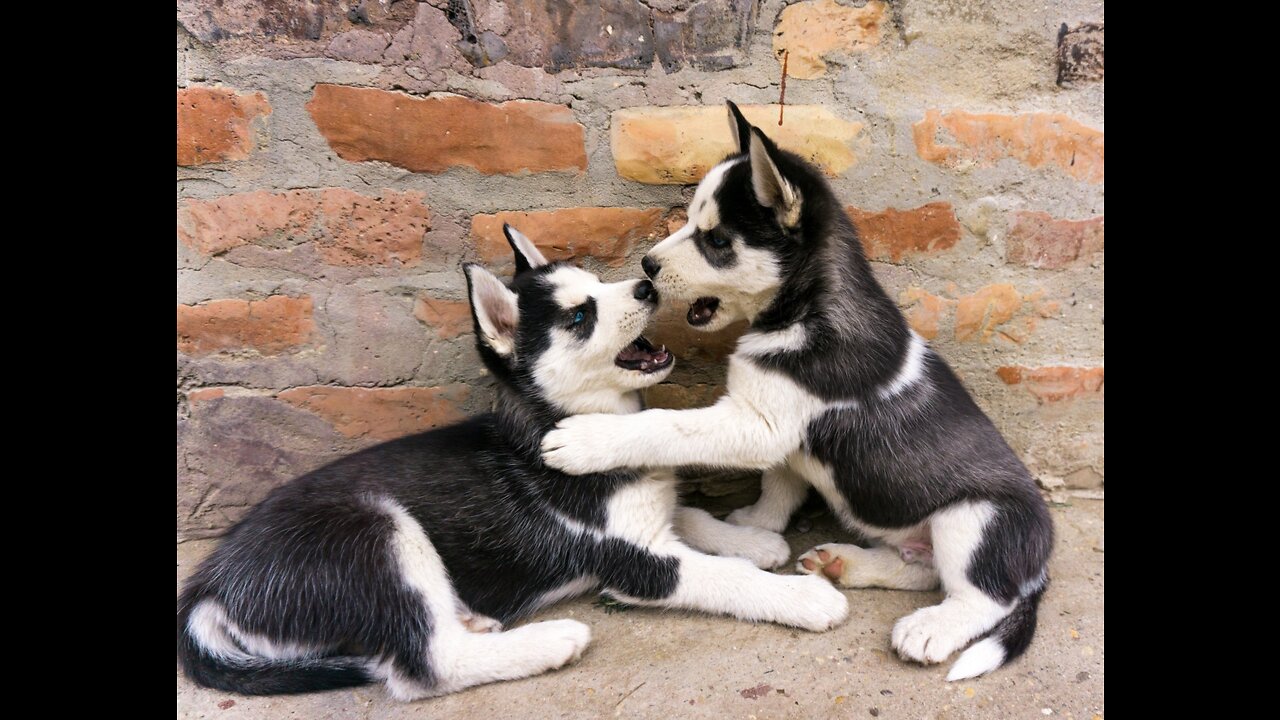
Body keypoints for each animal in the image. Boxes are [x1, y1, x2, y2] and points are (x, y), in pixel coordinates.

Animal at [175, 225, 844, 702]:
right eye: (580, 317)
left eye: (598, 284)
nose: (647, 285)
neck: (561, 421)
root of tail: (209, 587)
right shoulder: (636, 562)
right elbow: (725, 577)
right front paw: (803, 596)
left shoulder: (645, 518)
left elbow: (691, 515)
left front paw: (751, 538)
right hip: (378, 530)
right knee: (426, 666)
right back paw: (549, 640)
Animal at [540, 101, 1049, 676]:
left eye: (717, 240)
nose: (647, 266)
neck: (804, 309)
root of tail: (1039, 567)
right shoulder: (778, 432)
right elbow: (779, 484)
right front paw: (757, 526)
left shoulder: (761, 423)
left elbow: (665, 425)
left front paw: (586, 440)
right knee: (925, 571)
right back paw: (843, 564)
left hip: (976, 519)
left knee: (981, 596)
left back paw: (929, 630)